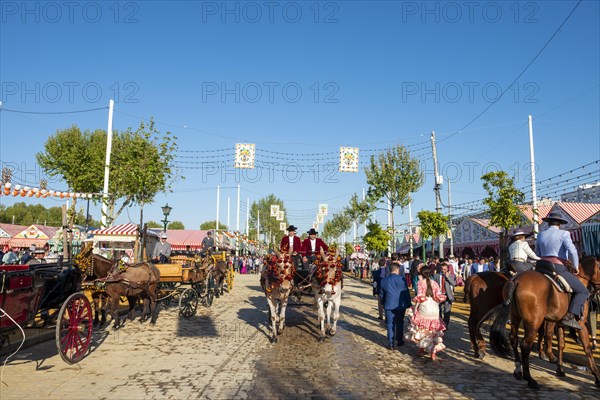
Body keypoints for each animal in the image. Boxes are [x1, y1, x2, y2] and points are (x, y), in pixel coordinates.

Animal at [490, 258, 596, 390]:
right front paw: (596, 375)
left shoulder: (560, 323)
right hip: (534, 321)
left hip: (516, 316)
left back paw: (518, 369)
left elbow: (561, 344)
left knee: (514, 339)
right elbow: (587, 348)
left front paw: (560, 369)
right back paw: (529, 378)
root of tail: (516, 280)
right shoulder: (581, 323)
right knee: (525, 345)